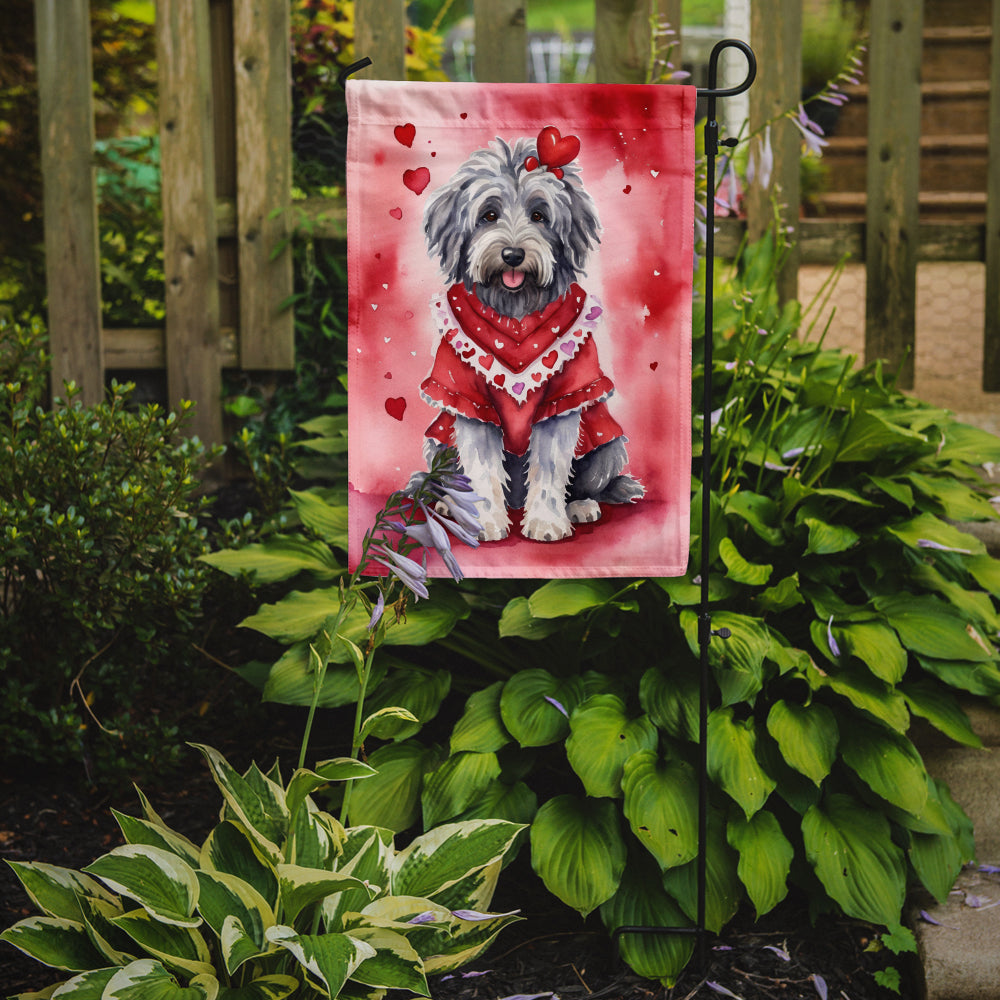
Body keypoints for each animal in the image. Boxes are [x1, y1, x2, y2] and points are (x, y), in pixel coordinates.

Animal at [420, 129, 640, 544]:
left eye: (539, 215)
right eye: (488, 215)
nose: (512, 254)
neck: (515, 314)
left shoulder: (566, 397)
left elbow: (551, 468)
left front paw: (546, 523)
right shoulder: (468, 400)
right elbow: (482, 468)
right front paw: (486, 523)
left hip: (608, 446)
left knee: (584, 482)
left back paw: (580, 507)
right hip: (437, 444)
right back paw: (451, 506)